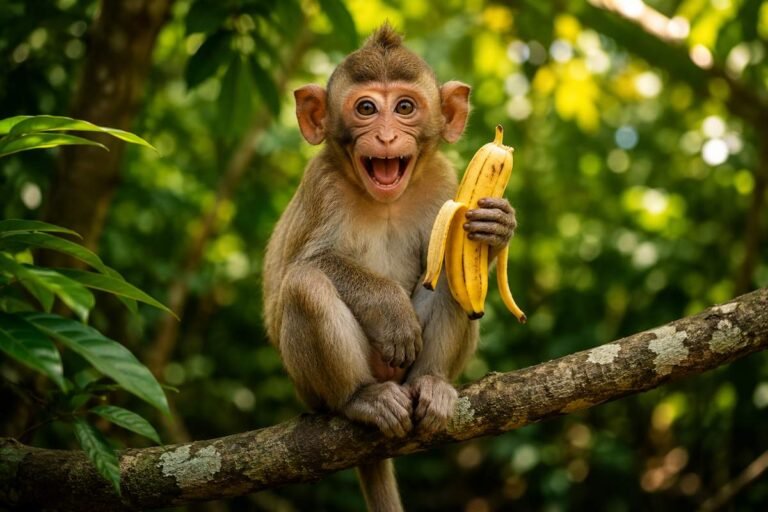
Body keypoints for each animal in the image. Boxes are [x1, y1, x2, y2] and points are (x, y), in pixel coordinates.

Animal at [263, 24, 517, 512]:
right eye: (366, 108)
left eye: (404, 107)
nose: (383, 138)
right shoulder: (321, 184)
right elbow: (308, 263)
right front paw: (392, 313)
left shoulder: (441, 180)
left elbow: (449, 257)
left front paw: (497, 226)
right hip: (310, 389)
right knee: (306, 285)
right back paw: (361, 398)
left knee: (451, 279)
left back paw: (433, 385)